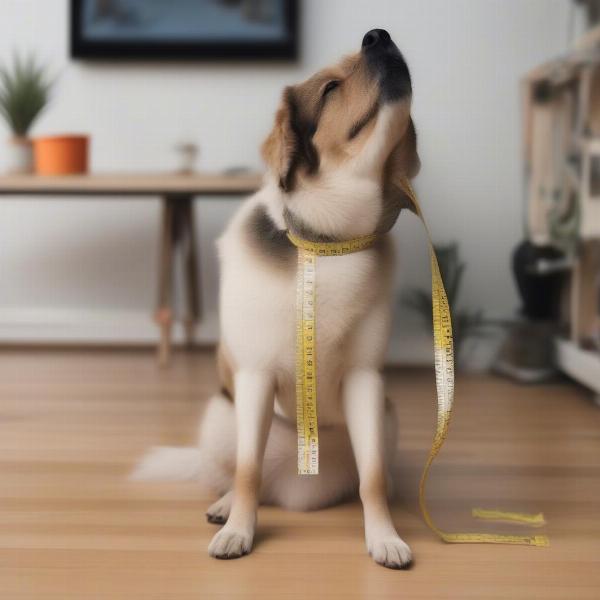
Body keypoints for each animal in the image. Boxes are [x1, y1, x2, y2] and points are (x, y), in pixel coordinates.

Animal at [134, 29, 420, 572]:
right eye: (330, 88)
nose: (379, 35)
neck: (328, 241)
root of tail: (294, 488)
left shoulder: (366, 381)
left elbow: (372, 476)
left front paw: (385, 536)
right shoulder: (255, 377)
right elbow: (247, 471)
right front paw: (238, 531)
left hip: (390, 414)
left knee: (369, 476)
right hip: (222, 417)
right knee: (248, 476)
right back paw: (226, 506)